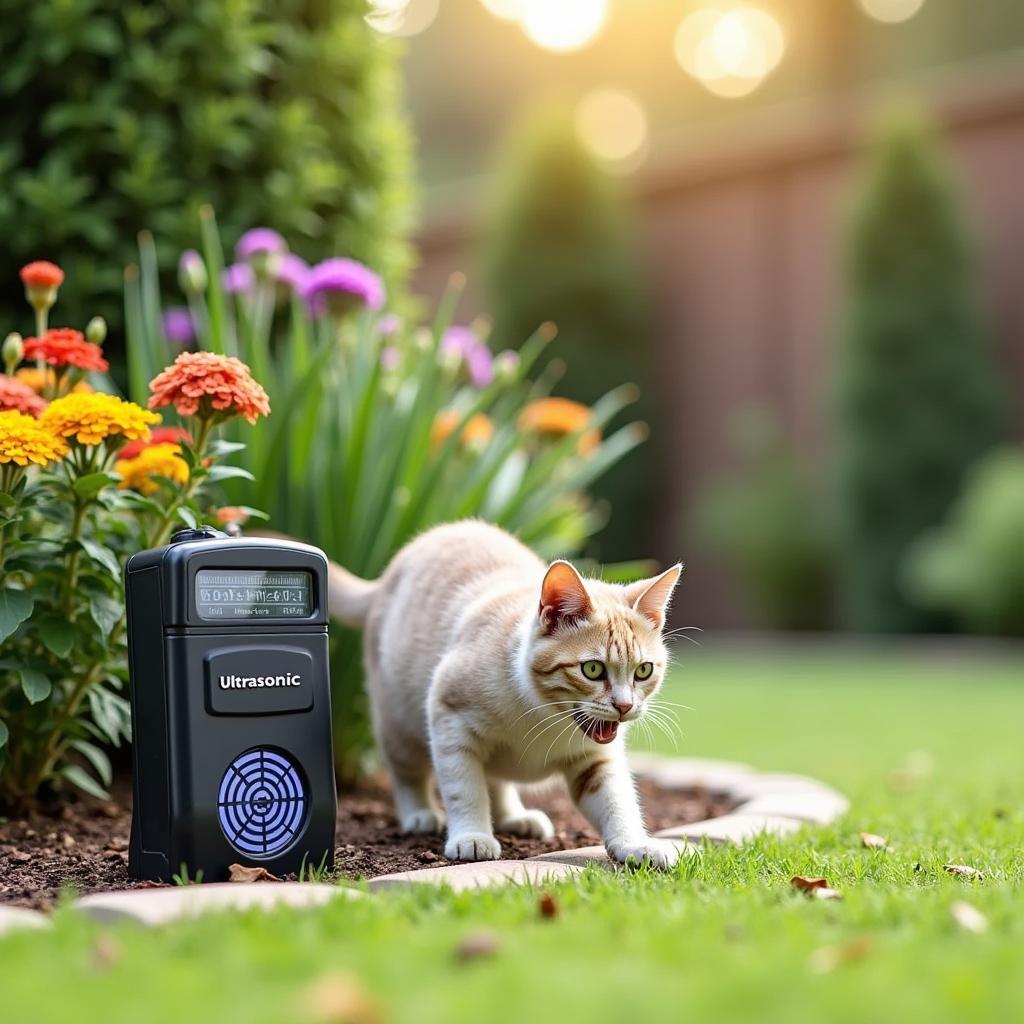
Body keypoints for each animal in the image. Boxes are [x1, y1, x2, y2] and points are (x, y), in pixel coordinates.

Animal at [327, 520, 688, 864]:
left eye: (643, 671)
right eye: (593, 670)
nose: (624, 706)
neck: (545, 715)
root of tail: (388, 574)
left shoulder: (596, 758)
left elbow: (616, 799)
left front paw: (636, 844)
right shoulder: (449, 717)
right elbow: (464, 787)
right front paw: (472, 835)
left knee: (496, 778)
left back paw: (515, 817)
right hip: (396, 720)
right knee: (407, 770)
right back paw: (420, 814)